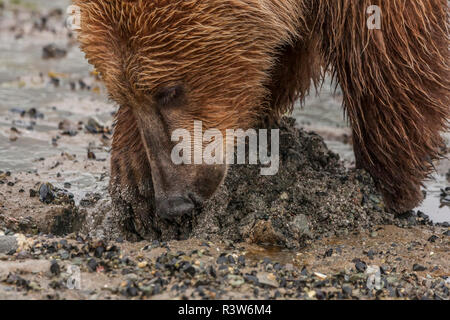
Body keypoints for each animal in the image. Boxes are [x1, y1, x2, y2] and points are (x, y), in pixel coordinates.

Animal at [72, 0, 448, 235]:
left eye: (170, 90)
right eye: (121, 93)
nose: (174, 201)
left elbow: (390, 52)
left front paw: (386, 187)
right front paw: (135, 189)